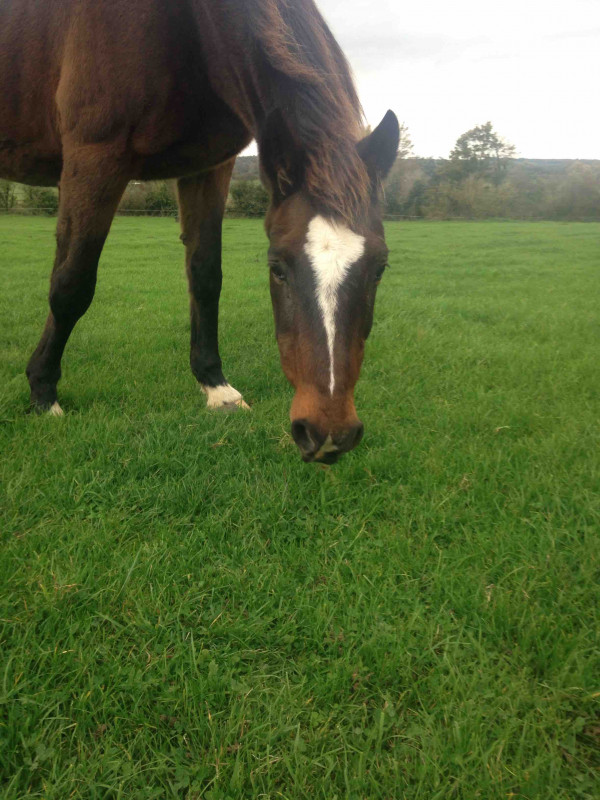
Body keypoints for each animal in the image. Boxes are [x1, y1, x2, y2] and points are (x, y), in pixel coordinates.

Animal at [3, 0, 404, 462]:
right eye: (278, 267)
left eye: (380, 268)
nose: (329, 433)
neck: (187, 22)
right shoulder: (94, 156)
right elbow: (71, 285)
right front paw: (43, 390)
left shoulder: (210, 166)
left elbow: (205, 276)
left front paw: (216, 386)